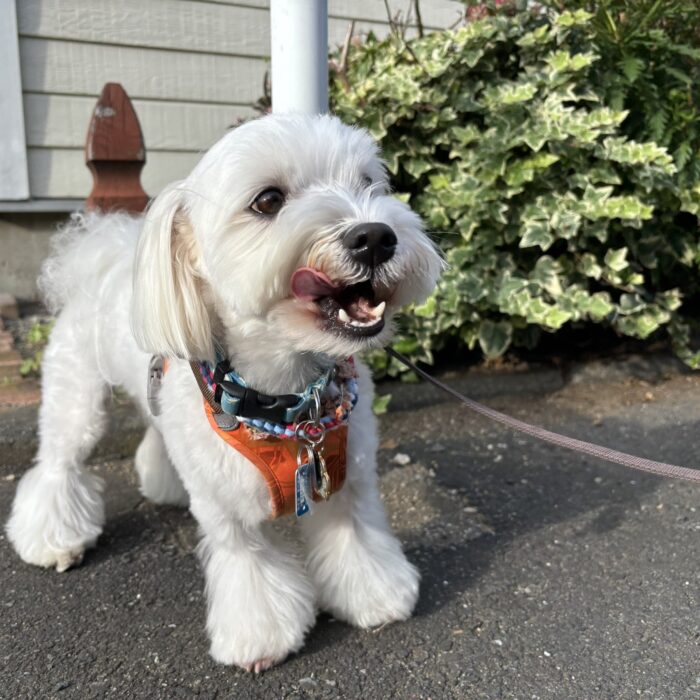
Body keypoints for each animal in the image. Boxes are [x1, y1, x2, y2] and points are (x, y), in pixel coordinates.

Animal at [5, 115, 440, 672]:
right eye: (268, 200)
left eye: (369, 184)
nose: (375, 236)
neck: (288, 400)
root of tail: (99, 257)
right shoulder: (226, 512)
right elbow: (249, 568)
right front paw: (262, 639)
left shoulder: (349, 479)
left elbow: (355, 540)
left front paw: (377, 596)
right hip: (75, 397)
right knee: (59, 463)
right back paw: (54, 540)